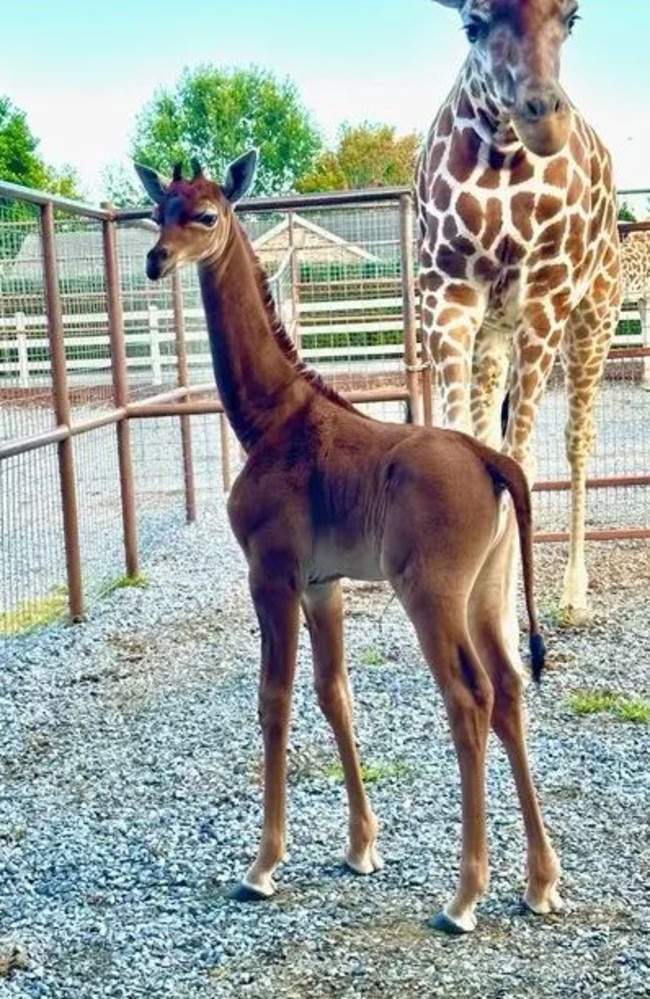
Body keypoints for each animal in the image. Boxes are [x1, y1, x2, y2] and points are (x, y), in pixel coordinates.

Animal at [134, 150, 560, 936]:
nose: (156, 259)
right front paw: (362, 847)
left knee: (470, 696)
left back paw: (463, 898)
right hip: (488, 592)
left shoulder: (271, 574)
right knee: (512, 689)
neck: (269, 418)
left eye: (205, 214)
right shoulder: (321, 583)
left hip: (432, 594)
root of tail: (493, 460)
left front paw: (263, 866)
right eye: (159, 211)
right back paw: (541, 882)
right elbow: (335, 693)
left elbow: (274, 698)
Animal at [418, 0, 620, 624]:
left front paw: (504, 619)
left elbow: (521, 458)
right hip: (494, 333)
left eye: (572, 18)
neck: (503, 155)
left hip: (593, 318)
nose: (543, 119)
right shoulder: (447, 294)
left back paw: (574, 595)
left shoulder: (545, 299)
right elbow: (466, 445)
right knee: (490, 428)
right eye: (472, 24)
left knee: (578, 438)